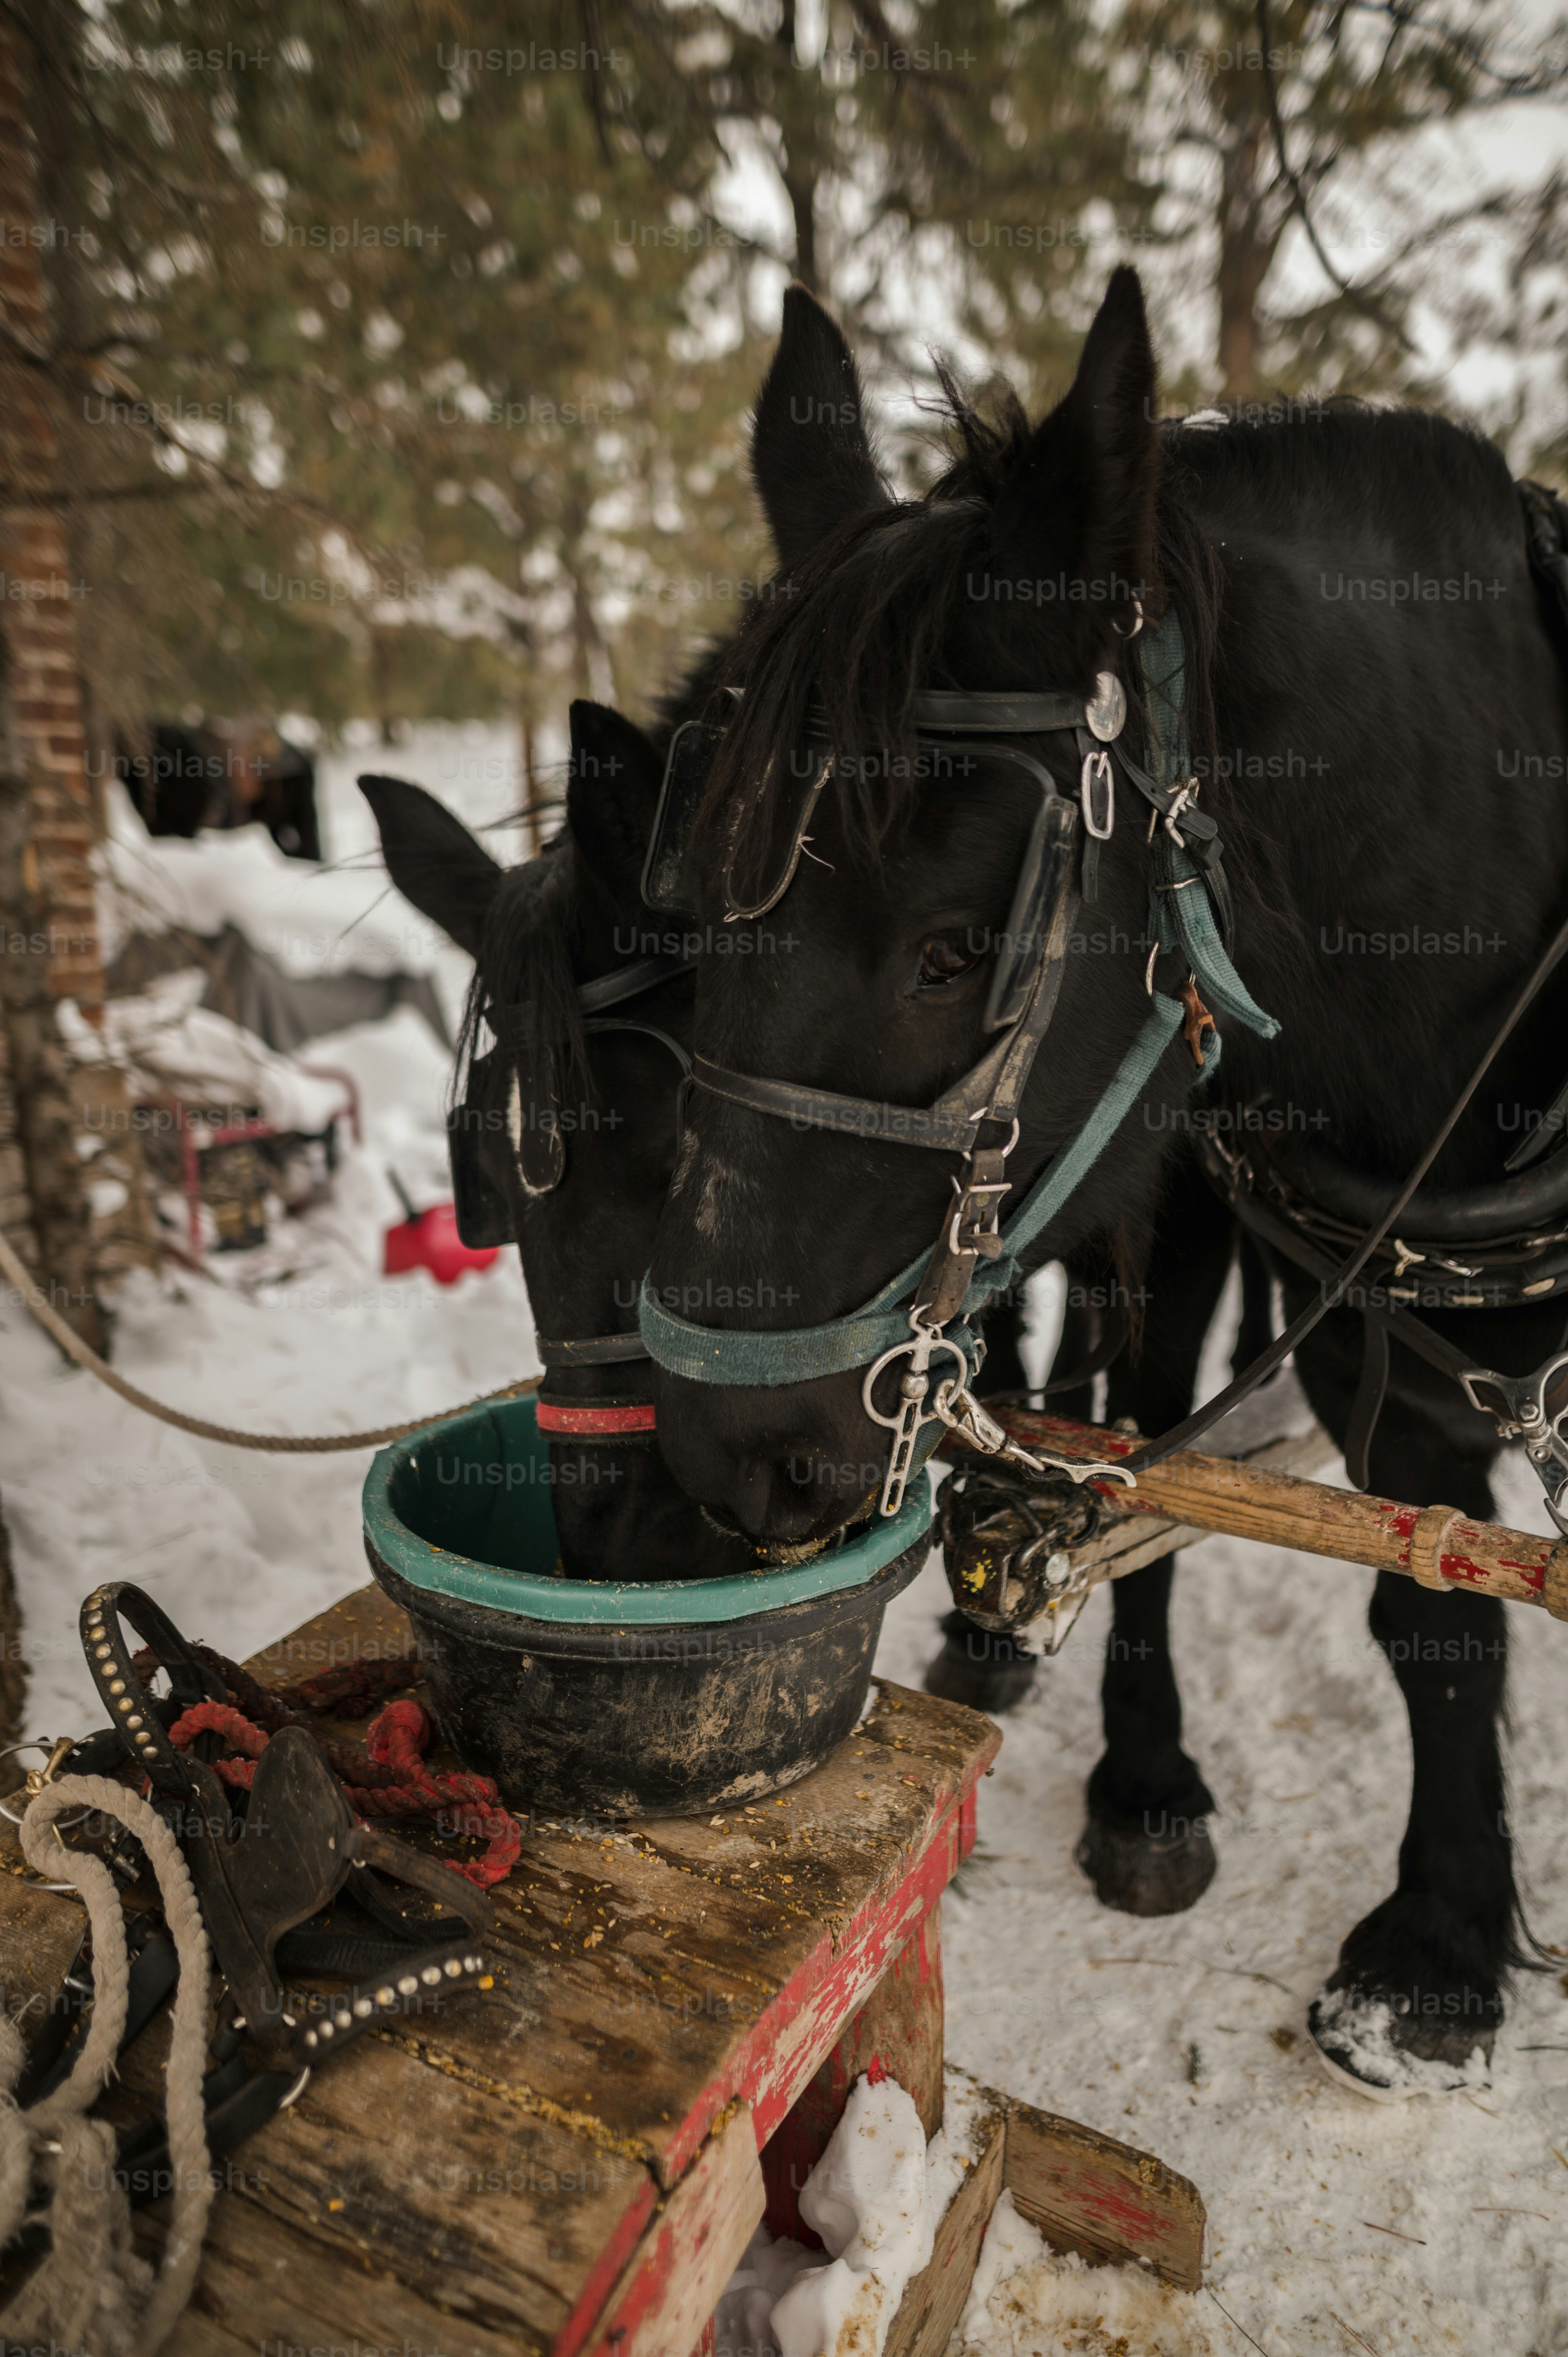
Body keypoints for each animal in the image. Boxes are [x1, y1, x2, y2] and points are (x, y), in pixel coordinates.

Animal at [640, 267, 1568, 2093]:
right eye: (700, 908)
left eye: (950, 952)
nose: (723, 1454)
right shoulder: (1372, 1363)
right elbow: (1425, 1615)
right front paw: (1438, 1947)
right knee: (1131, 1435)